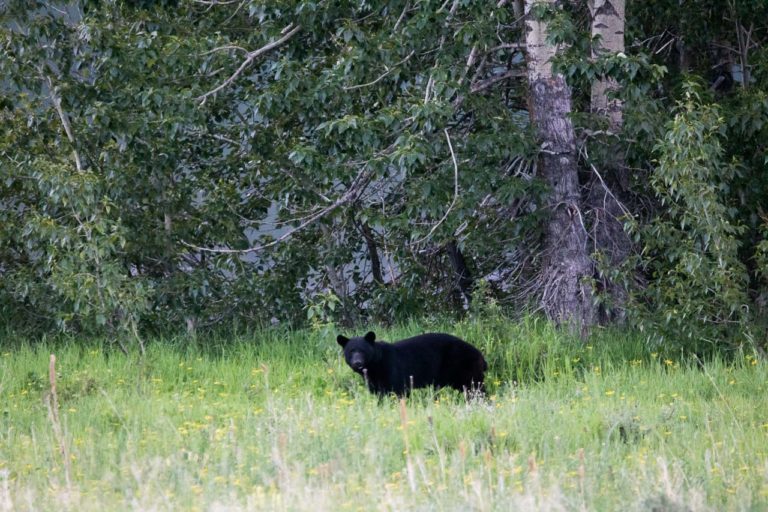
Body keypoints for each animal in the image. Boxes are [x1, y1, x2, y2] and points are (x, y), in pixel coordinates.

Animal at [336, 330, 486, 398]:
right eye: (351, 351)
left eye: (363, 351)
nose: (358, 363)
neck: (375, 366)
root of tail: (480, 355)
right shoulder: (373, 379)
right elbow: (378, 393)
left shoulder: (392, 368)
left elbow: (398, 390)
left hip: (463, 366)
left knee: (474, 388)